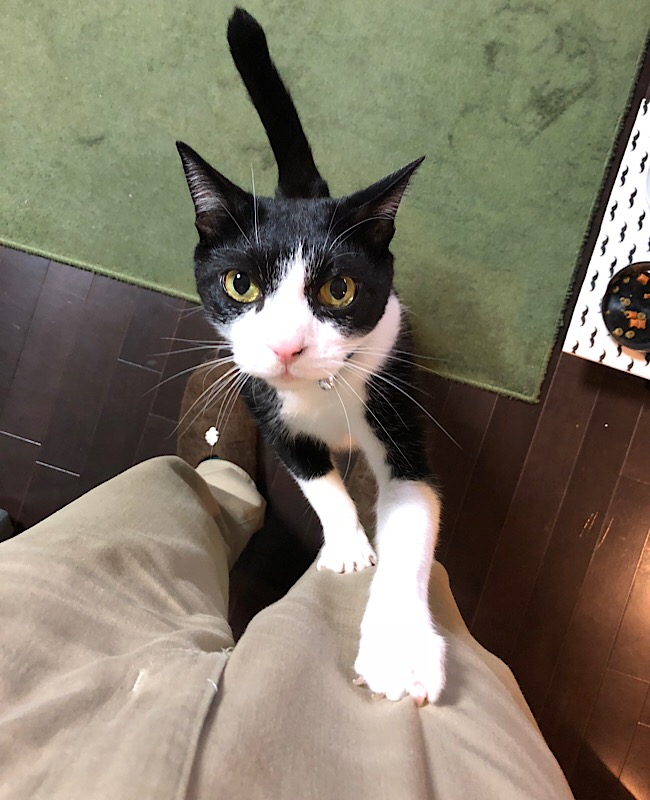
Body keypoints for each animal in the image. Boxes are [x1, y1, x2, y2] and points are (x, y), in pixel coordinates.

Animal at [177, 7, 446, 705]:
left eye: (339, 290)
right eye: (240, 284)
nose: (287, 346)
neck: (322, 392)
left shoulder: (393, 395)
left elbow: (414, 512)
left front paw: (401, 650)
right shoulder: (259, 397)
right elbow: (311, 472)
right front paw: (348, 545)